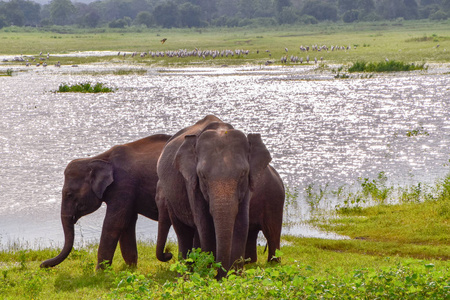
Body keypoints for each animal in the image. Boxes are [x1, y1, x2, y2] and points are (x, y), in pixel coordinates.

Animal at [40, 134, 171, 270]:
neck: (96, 158)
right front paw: (131, 269)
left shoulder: (122, 185)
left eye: (69, 194)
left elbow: (113, 223)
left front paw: (99, 273)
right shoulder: (128, 191)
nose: (42, 265)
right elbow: (127, 223)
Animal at [155, 115, 274, 276]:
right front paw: (211, 274)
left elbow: (242, 224)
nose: (168, 253)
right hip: (171, 198)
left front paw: (233, 276)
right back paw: (185, 273)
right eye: (203, 176)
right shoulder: (192, 184)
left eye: (243, 174)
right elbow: (205, 226)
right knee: (183, 232)